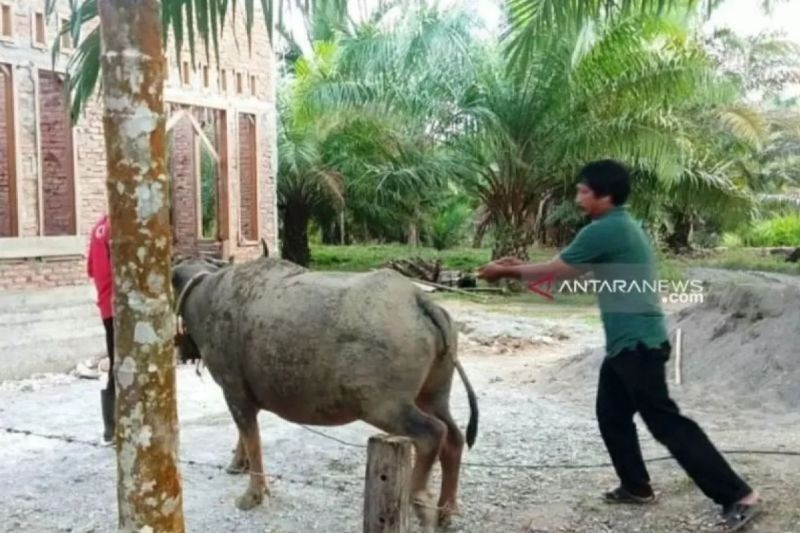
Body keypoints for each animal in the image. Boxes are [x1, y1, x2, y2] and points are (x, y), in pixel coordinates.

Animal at [172, 251, 478, 524]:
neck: (205, 297)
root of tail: (419, 300)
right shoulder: (241, 395)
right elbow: (244, 435)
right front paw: (238, 463)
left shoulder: (234, 391)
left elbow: (253, 439)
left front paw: (253, 494)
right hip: (433, 392)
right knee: (453, 435)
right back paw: (447, 509)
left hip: (382, 406)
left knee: (431, 432)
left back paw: (418, 497)